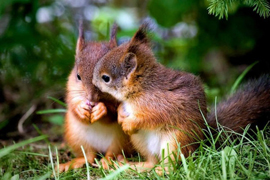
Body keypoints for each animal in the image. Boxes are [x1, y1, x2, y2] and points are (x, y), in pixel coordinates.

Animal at [59, 21, 133, 172]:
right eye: (78, 76)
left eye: (106, 78)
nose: (91, 99)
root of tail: (100, 148)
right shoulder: (71, 91)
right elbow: (72, 106)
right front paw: (80, 109)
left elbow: (113, 113)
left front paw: (101, 109)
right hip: (76, 137)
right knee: (88, 156)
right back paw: (72, 163)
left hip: (121, 139)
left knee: (112, 152)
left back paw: (109, 162)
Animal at [92, 23, 207, 172]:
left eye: (106, 78)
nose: (93, 82)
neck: (141, 88)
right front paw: (121, 116)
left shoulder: (158, 104)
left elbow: (149, 118)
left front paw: (128, 124)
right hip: (139, 140)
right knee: (152, 162)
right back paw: (131, 165)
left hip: (176, 141)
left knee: (172, 164)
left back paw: (162, 171)